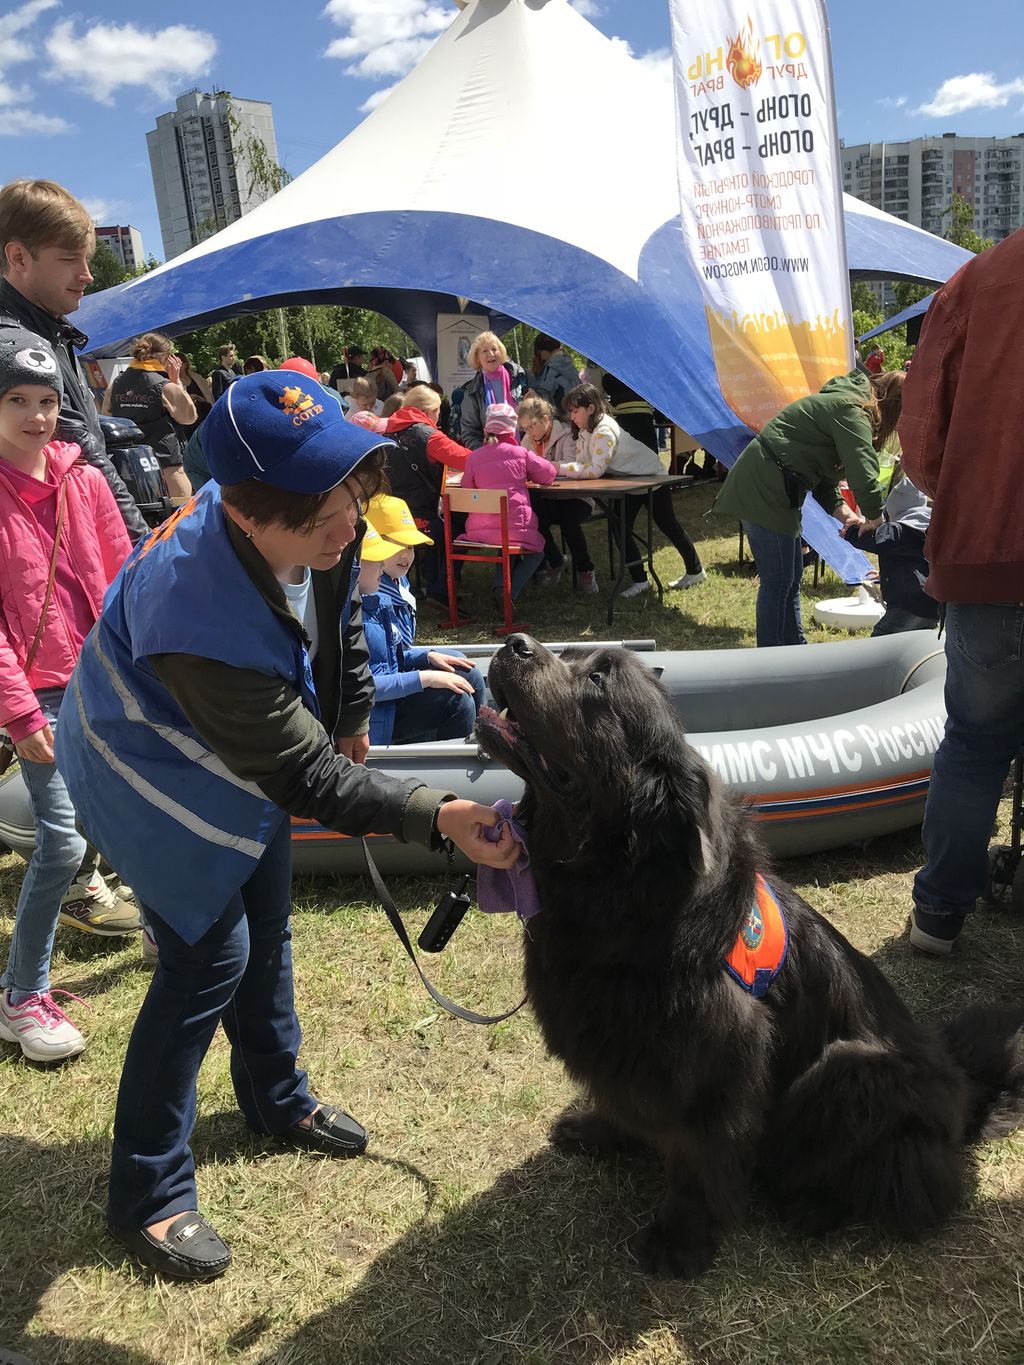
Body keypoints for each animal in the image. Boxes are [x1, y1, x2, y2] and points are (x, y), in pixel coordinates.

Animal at [480, 636, 1024, 1277]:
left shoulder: (718, 1059)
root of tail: (964, 1091)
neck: (618, 888)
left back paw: (814, 1208)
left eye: (598, 686)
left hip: (848, 1071)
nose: (514, 643)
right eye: (569, 656)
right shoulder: (615, 1040)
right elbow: (619, 1098)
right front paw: (597, 1130)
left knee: (912, 1189)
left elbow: (698, 1154)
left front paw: (680, 1241)